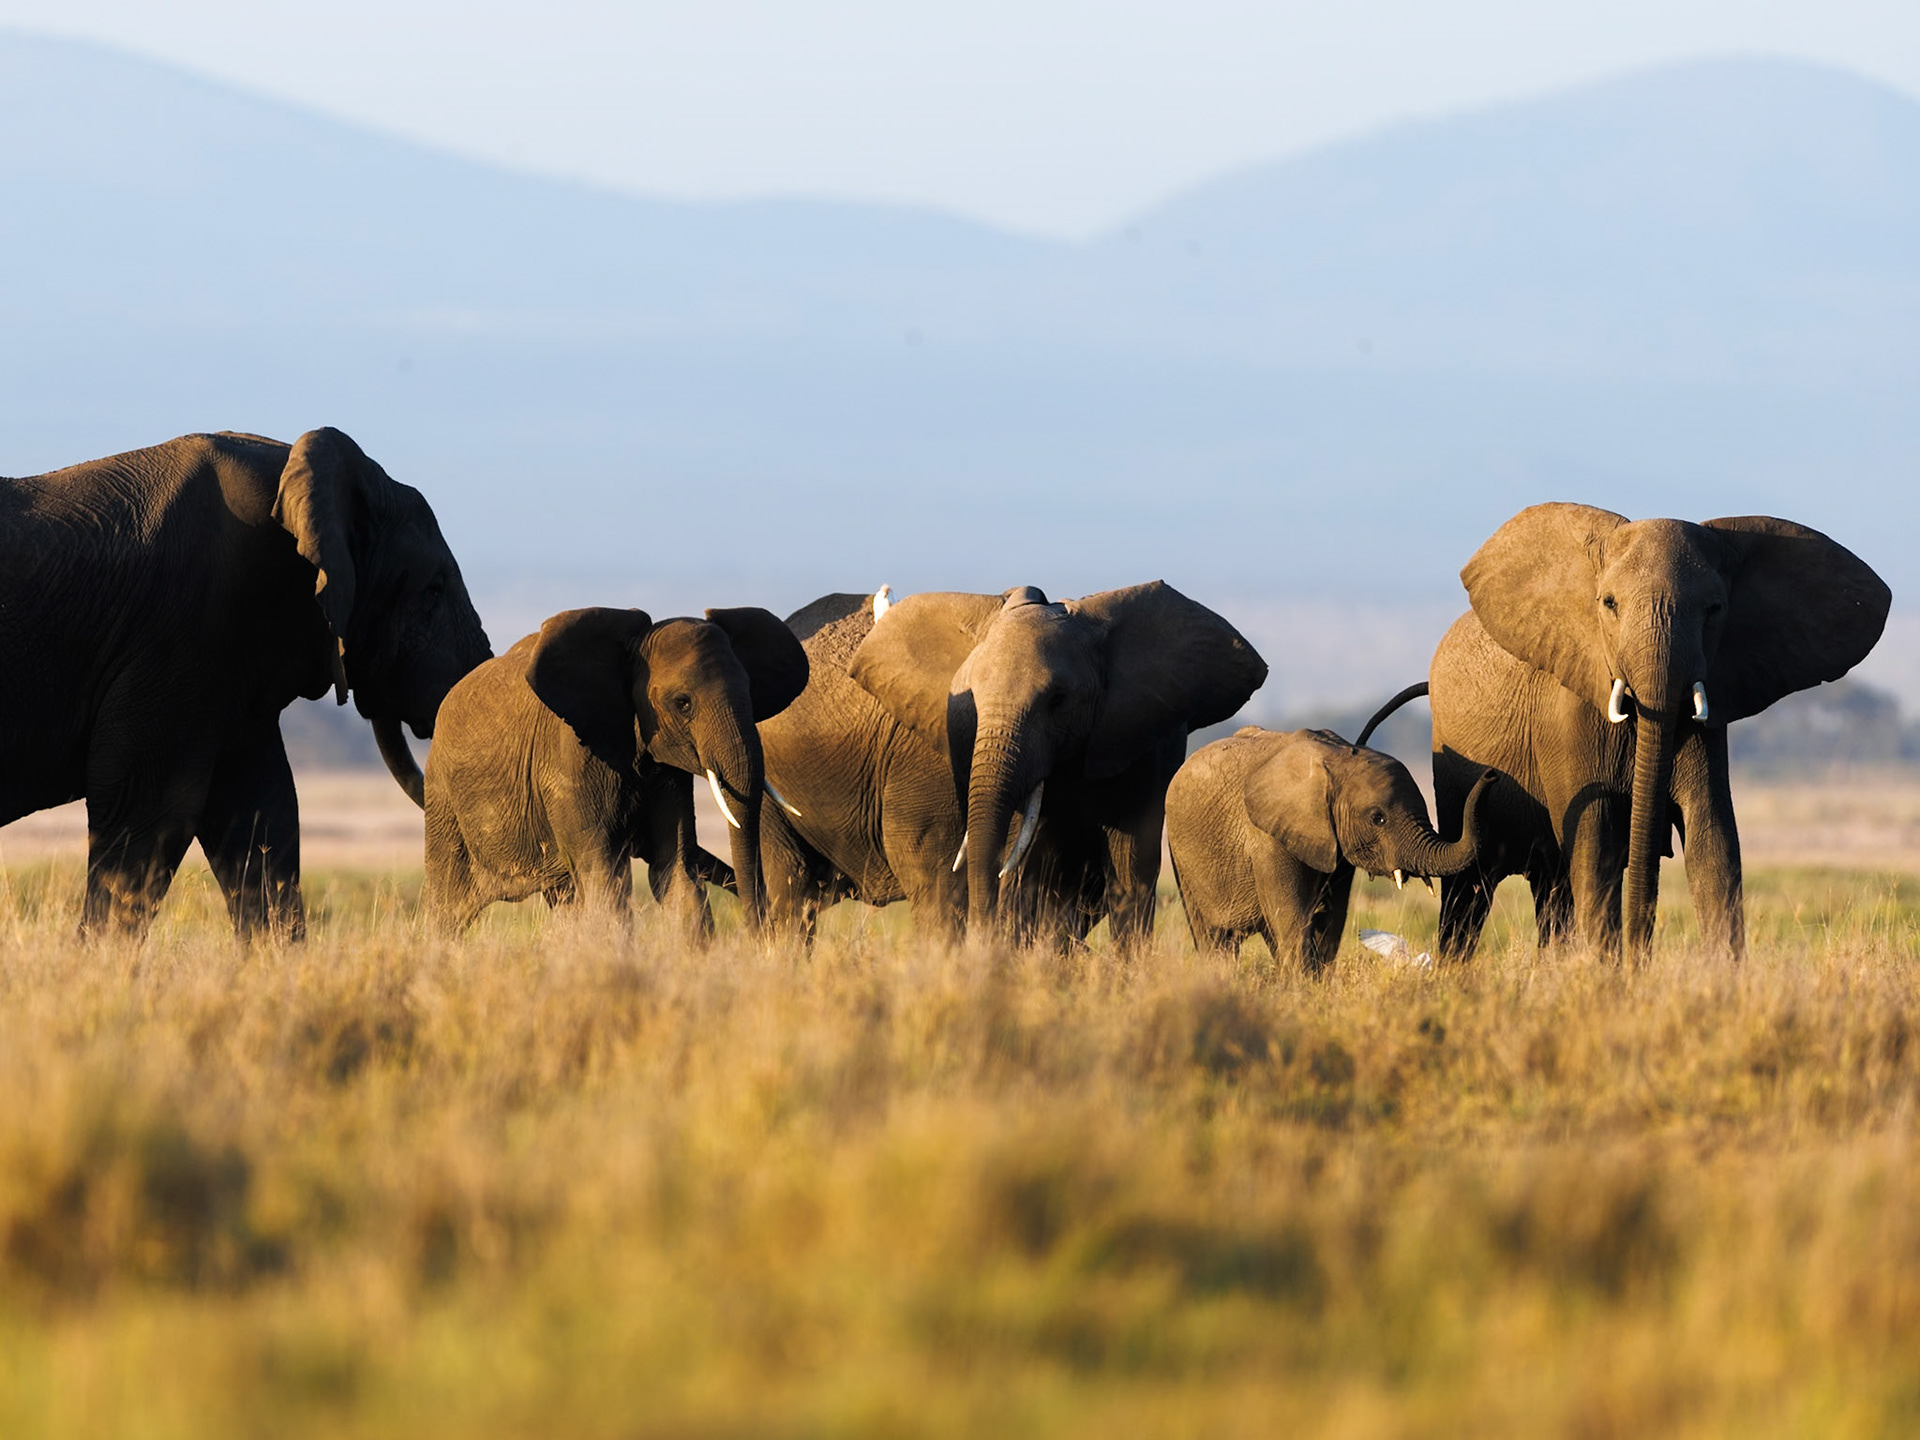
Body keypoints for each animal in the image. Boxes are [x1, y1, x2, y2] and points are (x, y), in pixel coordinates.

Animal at [422, 605, 809, 936]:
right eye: (682, 703)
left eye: (751, 693)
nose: (762, 934)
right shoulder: (568, 762)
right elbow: (604, 876)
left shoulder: (666, 771)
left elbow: (675, 872)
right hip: (443, 801)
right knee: (448, 906)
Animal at [768, 581, 1266, 949]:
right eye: (967, 698)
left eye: (1058, 700)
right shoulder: (929, 757)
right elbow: (944, 872)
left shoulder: (1144, 743)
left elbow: (1131, 871)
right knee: (791, 891)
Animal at [1166, 726, 1496, 971]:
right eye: (1378, 818)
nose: (1491, 773)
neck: (1339, 760)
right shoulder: (1267, 838)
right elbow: (1292, 920)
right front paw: (1300, 991)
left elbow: (1330, 920)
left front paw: (1315, 984)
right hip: (1181, 857)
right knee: (1213, 936)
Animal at [1406, 505, 1889, 962]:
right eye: (1609, 604)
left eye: (1714, 609)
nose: (1641, 959)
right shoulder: (1566, 721)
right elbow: (1595, 843)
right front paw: (1608, 977)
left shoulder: (1709, 713)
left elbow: (1712, 839)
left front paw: (1720, 978)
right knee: (1469, 888)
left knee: (1551, 888)